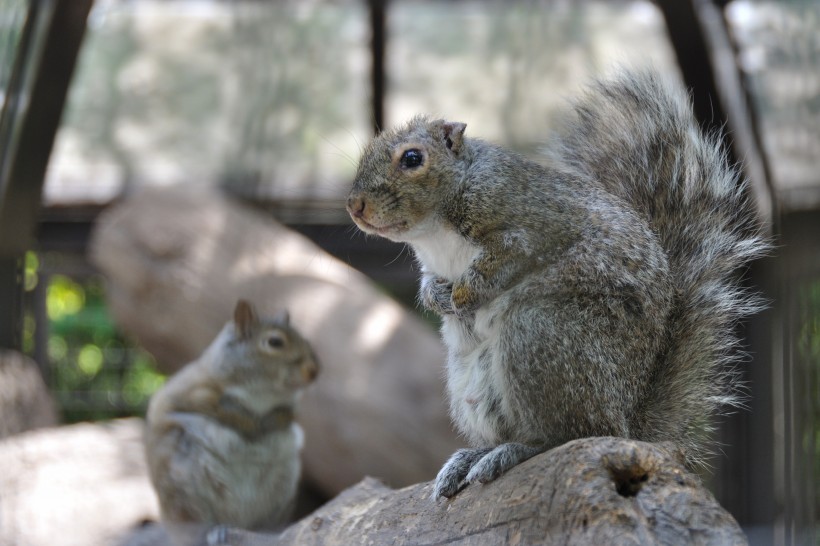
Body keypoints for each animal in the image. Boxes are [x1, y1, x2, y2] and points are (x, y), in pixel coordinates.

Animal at [144, 300, 318, 540]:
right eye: (275, 342)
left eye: (306, 338)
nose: (314, 371)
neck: (262, 393)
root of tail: (237, 522)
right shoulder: (193, 393)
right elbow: (222, 410)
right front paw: (250, 424)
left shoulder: (288, 409)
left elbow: (283, 416)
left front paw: (267, 423)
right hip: (184, 489)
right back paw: (215, 531)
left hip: (282, 486)